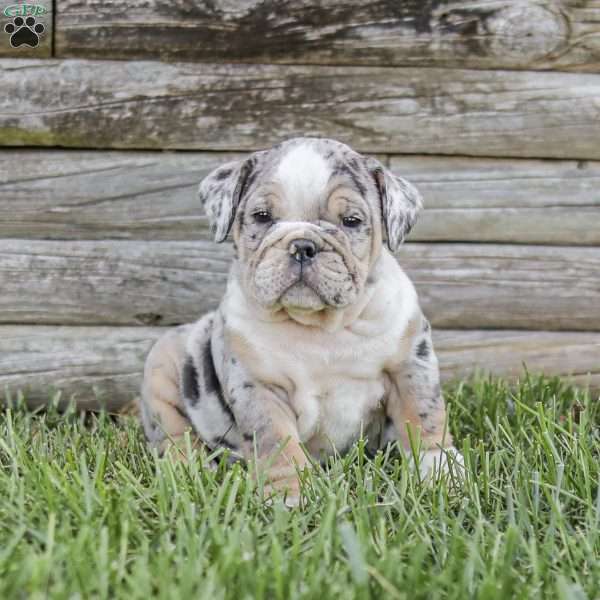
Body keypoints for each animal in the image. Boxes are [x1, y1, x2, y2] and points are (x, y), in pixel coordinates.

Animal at [141, 137, 464, 506]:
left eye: (351, 220)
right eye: (262, 217)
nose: (303, 245)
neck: (320, 327)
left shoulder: (410, 365)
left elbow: (423, 416)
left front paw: (440, 472)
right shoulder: (260, 388)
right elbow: (278, 444)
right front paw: (290, 495)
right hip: (162, 367)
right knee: (173, 436)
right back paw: (190, 470)